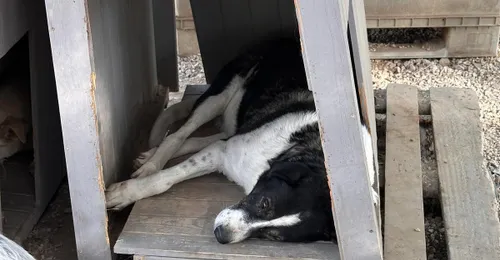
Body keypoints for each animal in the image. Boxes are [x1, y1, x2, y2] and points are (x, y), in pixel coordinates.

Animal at [105, 36, 378, 244]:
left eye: (273, 235)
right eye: (265, 204)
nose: (220, 235)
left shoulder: (223, 150)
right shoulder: (222, 152)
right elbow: (164, 180)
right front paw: (123, 193)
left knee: (202, 138)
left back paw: (148, 156)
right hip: (220, 94)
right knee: (179, 134)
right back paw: (152, 162)